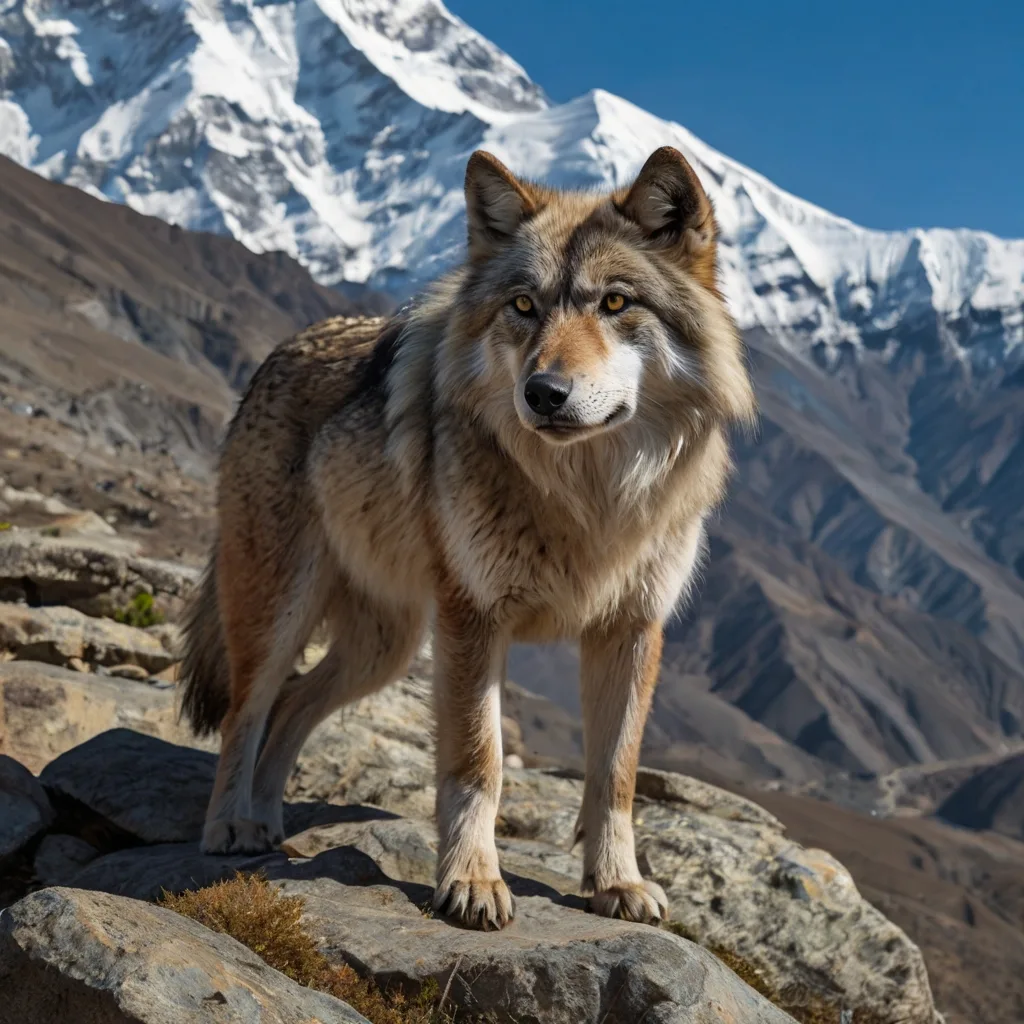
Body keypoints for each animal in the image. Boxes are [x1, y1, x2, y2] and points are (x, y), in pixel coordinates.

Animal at [179, 145, 756, 931]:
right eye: (524, 306)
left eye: (615, 303)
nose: (543, 393)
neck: (588, 499)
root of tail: (284, 348)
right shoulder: (474, 620)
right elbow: (478, 760)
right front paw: (473, 882)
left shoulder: (632, 629)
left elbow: (616, 774)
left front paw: (617, 884)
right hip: (283, 611)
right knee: (249, 708)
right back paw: (230, 826)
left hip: (385, 648)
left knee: (293, 704)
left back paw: (268, 821)